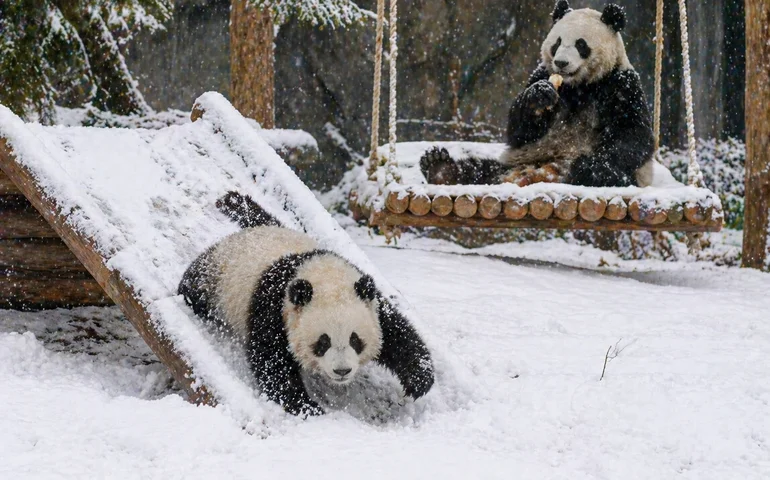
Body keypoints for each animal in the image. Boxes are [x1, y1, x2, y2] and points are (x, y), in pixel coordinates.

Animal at [178, 192, 434, 417]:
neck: (322, 275)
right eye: (323, 341)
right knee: (194, 287)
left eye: (355, 339)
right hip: (215, 278)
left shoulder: (365, 293)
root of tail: (250, 231)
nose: (342, 371)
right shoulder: (272, 306)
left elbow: (396, 332)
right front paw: (307, 406)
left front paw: (418, 379)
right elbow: (272, 363)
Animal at [420, 1, 655, 188]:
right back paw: (440, 167)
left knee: (612, 175)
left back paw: (586, 171)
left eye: (581, 44)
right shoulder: (541, 72)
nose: (561, 63)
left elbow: (634, 133)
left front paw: (592, 165)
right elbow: (519, 131)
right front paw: (539, 97)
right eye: (557, 42)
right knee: (478, 169)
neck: (579, 85)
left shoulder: (621, 83)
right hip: (516, 161)